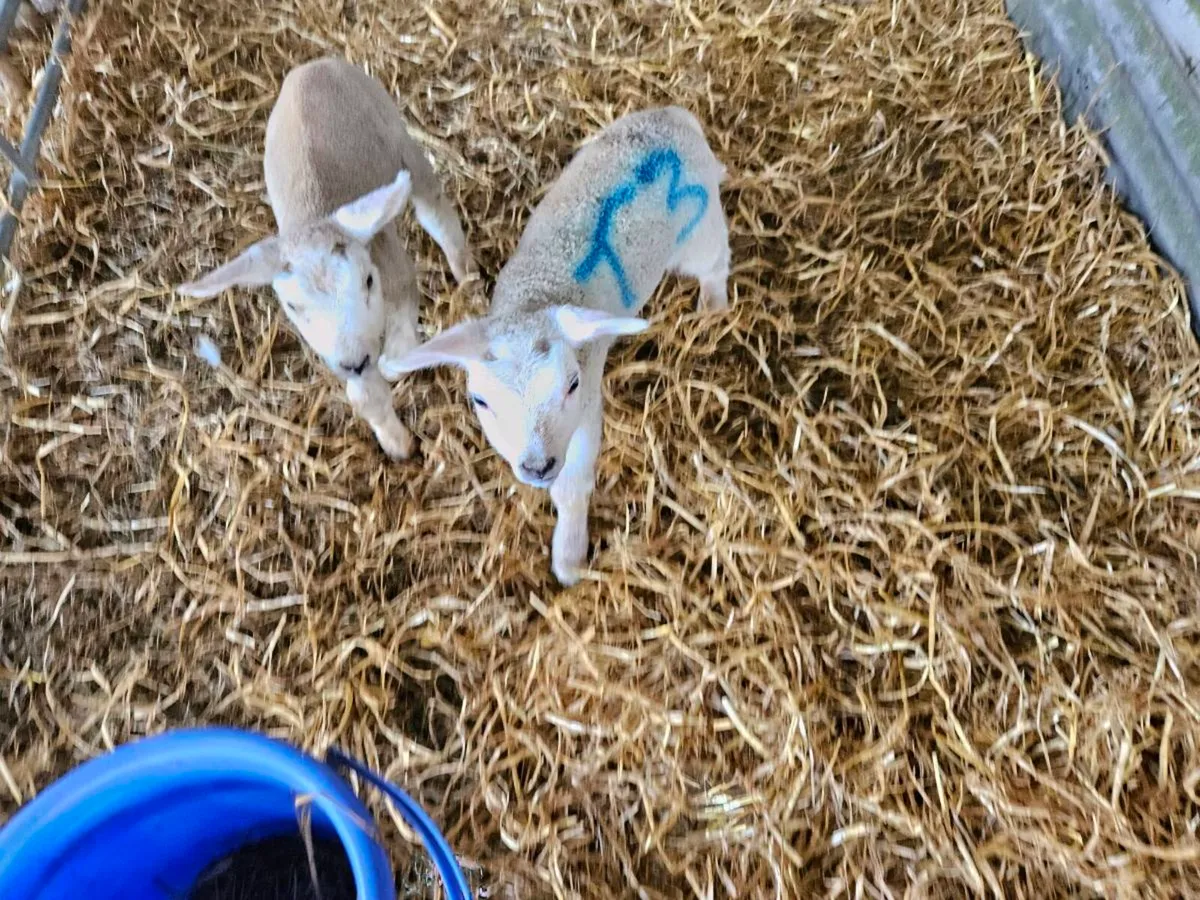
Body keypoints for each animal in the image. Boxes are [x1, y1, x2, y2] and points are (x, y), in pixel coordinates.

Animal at [178, 57, 473, 460]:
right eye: (292, 306)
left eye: (368, 281)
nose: (354, 361)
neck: (314, 218)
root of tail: (312, 65)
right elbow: (365, 397)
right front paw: (397, 445)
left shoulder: (394, 272)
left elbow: (399, 342)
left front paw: (394, 364)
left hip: (396, 133)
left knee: (435, 212)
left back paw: (466, 274)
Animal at [380, 106, 730, 584]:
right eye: (479, 401)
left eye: (572, 385)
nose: (537, 466)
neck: (534, 300)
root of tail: (673, 115)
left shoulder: (587, 411)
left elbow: (572, 484)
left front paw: (569, 557)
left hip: (701, 226)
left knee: (716, 262)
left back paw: (714, 306)